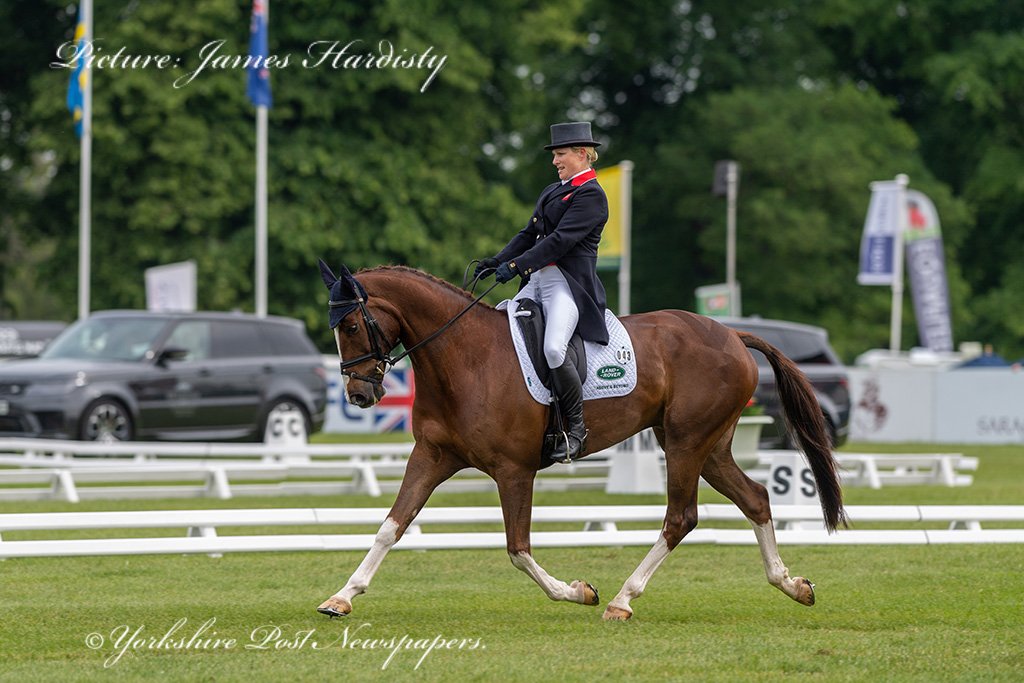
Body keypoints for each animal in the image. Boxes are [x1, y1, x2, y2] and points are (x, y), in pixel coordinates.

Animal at [315, 262, 846, 621]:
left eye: (352, 324)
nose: (360, 394)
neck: (464, 358)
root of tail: (733, 334)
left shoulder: (514, 470)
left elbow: (518, 547)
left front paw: (577, 591)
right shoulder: (431, 456)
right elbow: (392, 526)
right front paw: (341, 597)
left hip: (685, 442)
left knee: (681, 517)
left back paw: (621, 600)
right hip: (709, 446)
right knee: (755, 498)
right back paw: (791, 584)